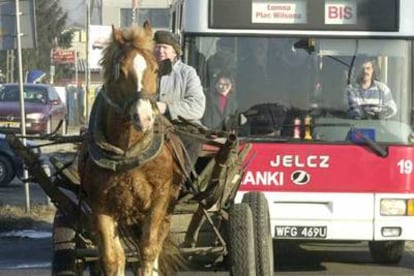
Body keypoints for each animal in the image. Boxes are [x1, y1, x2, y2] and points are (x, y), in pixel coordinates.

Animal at [78, 22, 185, 274]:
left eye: (155, 70)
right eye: (122, 72)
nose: (143, 117)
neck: (129, 152)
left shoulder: (159, 199)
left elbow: (148, 250)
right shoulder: (100, 205)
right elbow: (112, 258)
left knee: (157, 243)